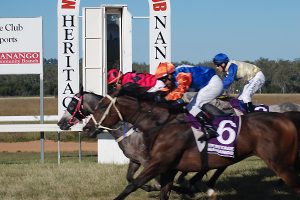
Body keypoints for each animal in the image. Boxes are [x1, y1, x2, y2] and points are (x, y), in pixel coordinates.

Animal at [83, 94, 300, 200]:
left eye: (102, 107)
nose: (86, 128)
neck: (162, 123)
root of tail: (287, 118)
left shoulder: (158, 163)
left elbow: (131, 185)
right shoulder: (168, 168)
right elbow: (162, 191)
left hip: (281, 164)